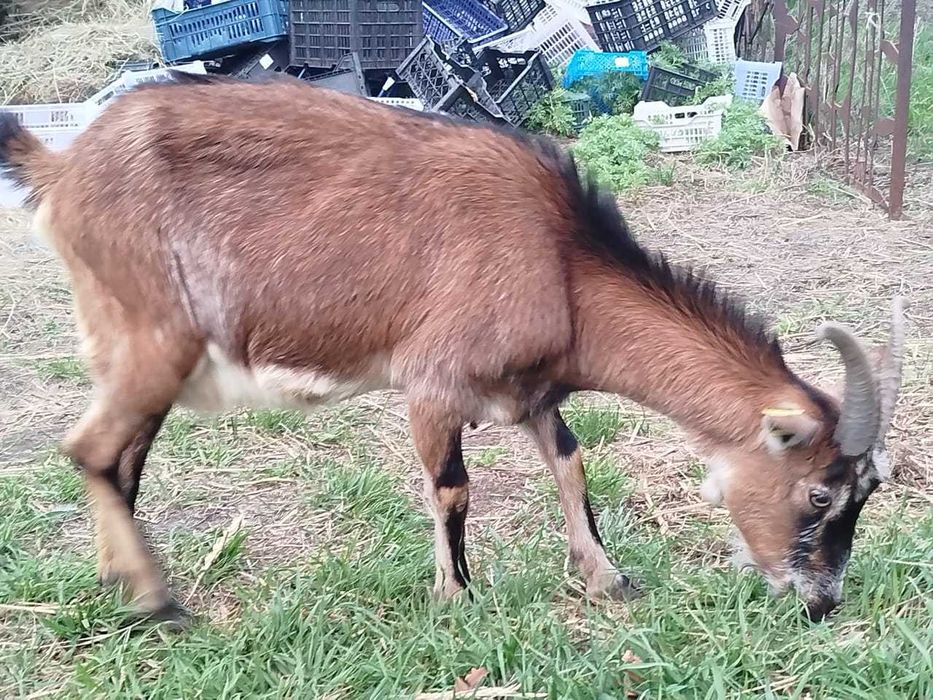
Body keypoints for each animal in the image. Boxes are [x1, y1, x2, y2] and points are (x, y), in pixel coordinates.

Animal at [0, 73, 907, 623]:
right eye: (820, 492)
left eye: (869, 490)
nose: (821, 602)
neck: (559, 262)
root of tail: (62, 167)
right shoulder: (433, 385)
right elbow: (452, 490)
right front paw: (456, 595)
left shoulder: (533, 393)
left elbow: (571, 464)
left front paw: (606, 577)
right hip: (153, 334)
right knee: (89, 449)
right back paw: (157, 600)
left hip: (143, 354)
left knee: (118, 460)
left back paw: (120, 583)